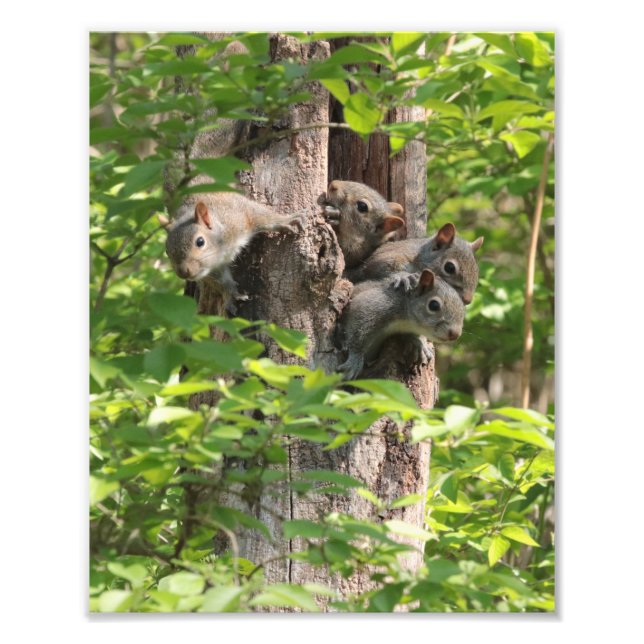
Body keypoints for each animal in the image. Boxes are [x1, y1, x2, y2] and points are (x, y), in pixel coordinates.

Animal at [159, 193, 303, 299]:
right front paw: (234, 292)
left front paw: (286, 221)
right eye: (166, 250)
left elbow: (263, 217)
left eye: (200, 242)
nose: (183, 272)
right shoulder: (216, 267)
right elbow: (223, 278)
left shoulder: (240, 214)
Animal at [346, 222, 484, 305]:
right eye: (449, 267)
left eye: (477, 269)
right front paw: (404, 276)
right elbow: (376, 266)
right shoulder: (391, 255)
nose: (468, 299)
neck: (419, 256)